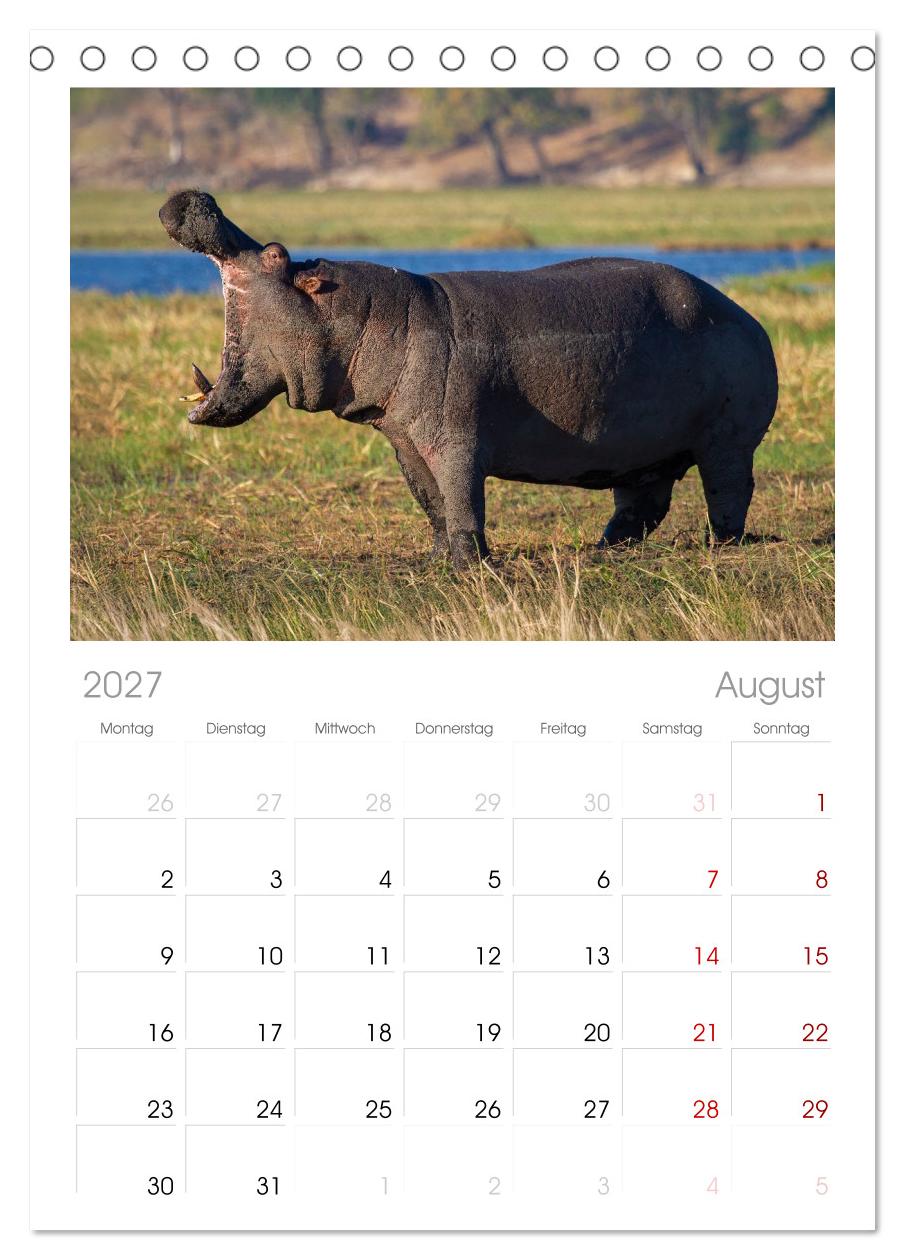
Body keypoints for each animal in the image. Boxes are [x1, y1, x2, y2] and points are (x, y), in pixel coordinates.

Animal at [159, 190, 778, 569]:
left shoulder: (454, 438)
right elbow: (430, 499)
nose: (194, 197)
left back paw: (721, 545)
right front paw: (436, 558)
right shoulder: (405, 439)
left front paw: (467, 563)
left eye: (276, 254)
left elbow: (461, 496)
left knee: (728, 490)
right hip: (639, 451)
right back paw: (603, 550)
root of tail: (748, 318)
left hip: (726, 441)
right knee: (641, 504)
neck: (362, 317)